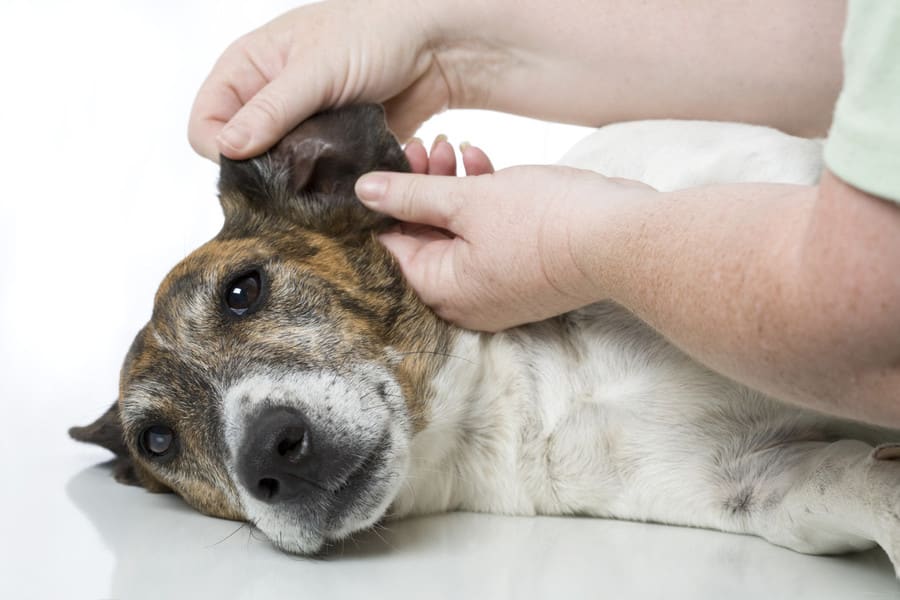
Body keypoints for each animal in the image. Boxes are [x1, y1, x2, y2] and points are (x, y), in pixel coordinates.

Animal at [72, 103, 900, 572]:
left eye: (243, 290)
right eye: (156, 442)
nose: (270, 454)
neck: (526, 393)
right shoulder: (757, 479)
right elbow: (859, 485)